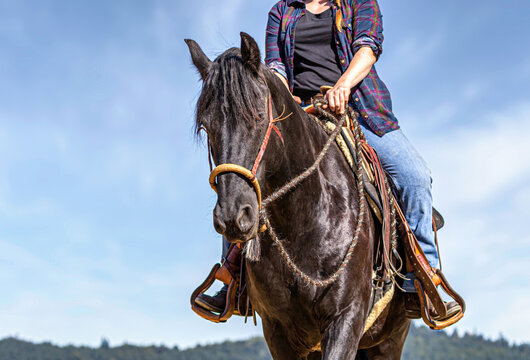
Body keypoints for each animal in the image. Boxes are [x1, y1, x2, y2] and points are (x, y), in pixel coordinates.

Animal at [185, 32, 408, 358]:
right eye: (205, 126)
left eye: (259, 116)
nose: (233, 216)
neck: (306, 220)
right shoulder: (277, 329)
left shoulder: (347, 318)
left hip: (389, 339)